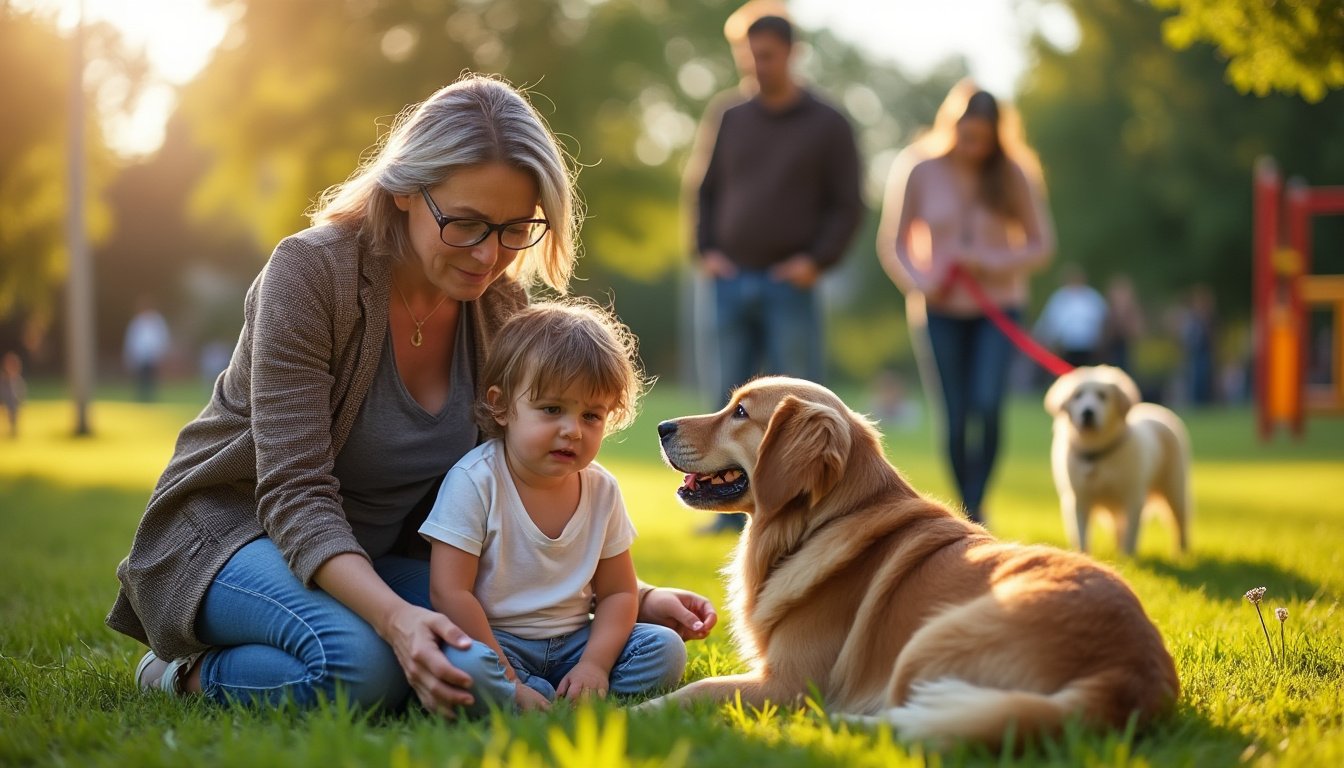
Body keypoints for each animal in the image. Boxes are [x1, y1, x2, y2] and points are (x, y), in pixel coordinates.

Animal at [1042, 368, 1193, 556]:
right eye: (1077, 395)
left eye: (1102, 396)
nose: (1087, 413)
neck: (1097, 454)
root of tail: (1155, 408)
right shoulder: (1079, 498)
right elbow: (1082, 534)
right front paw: (1083, 554)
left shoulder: (1133, 497)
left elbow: (1131, 534)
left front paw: (1128, 557)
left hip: (1174, 489)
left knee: (1180, 522)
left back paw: (1182, 553)